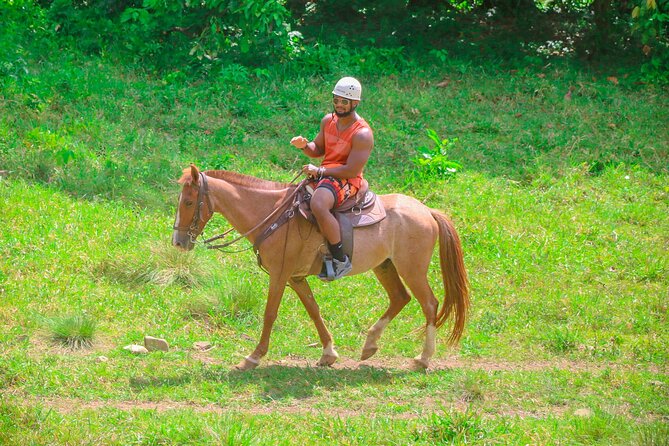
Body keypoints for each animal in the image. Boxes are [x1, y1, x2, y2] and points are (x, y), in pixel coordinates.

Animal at [172, 164, 469, 371]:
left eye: (188, 202)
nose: (178, 241)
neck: (273, 214)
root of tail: (427, 211)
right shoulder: (295, 278)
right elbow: (313, 310)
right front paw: (328, 353)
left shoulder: (280, 275)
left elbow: (270, 314)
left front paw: (253, 357)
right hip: (385, 266)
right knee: (400, 298)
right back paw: (370, 345)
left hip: (412, 269)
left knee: (429, 304)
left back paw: (423, 358)